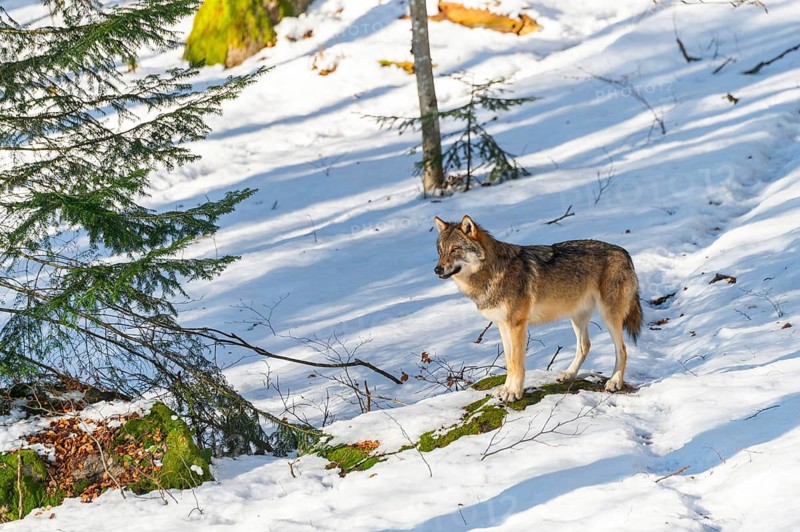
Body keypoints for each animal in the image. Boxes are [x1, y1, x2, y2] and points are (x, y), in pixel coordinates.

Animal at [434, 215, 642, 400]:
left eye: (455, 249)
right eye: (440, 250)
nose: (437, 270)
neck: (491, 273)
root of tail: (625, 252)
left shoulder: (517, 325)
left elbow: (517, 362)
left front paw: (513, 393)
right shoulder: (503, 326)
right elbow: (509, 362)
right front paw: (505, 390)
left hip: (608, 316)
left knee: (622, 349)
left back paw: (614, 382)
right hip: (577, 317)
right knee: (585, 346)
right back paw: (569, 374)